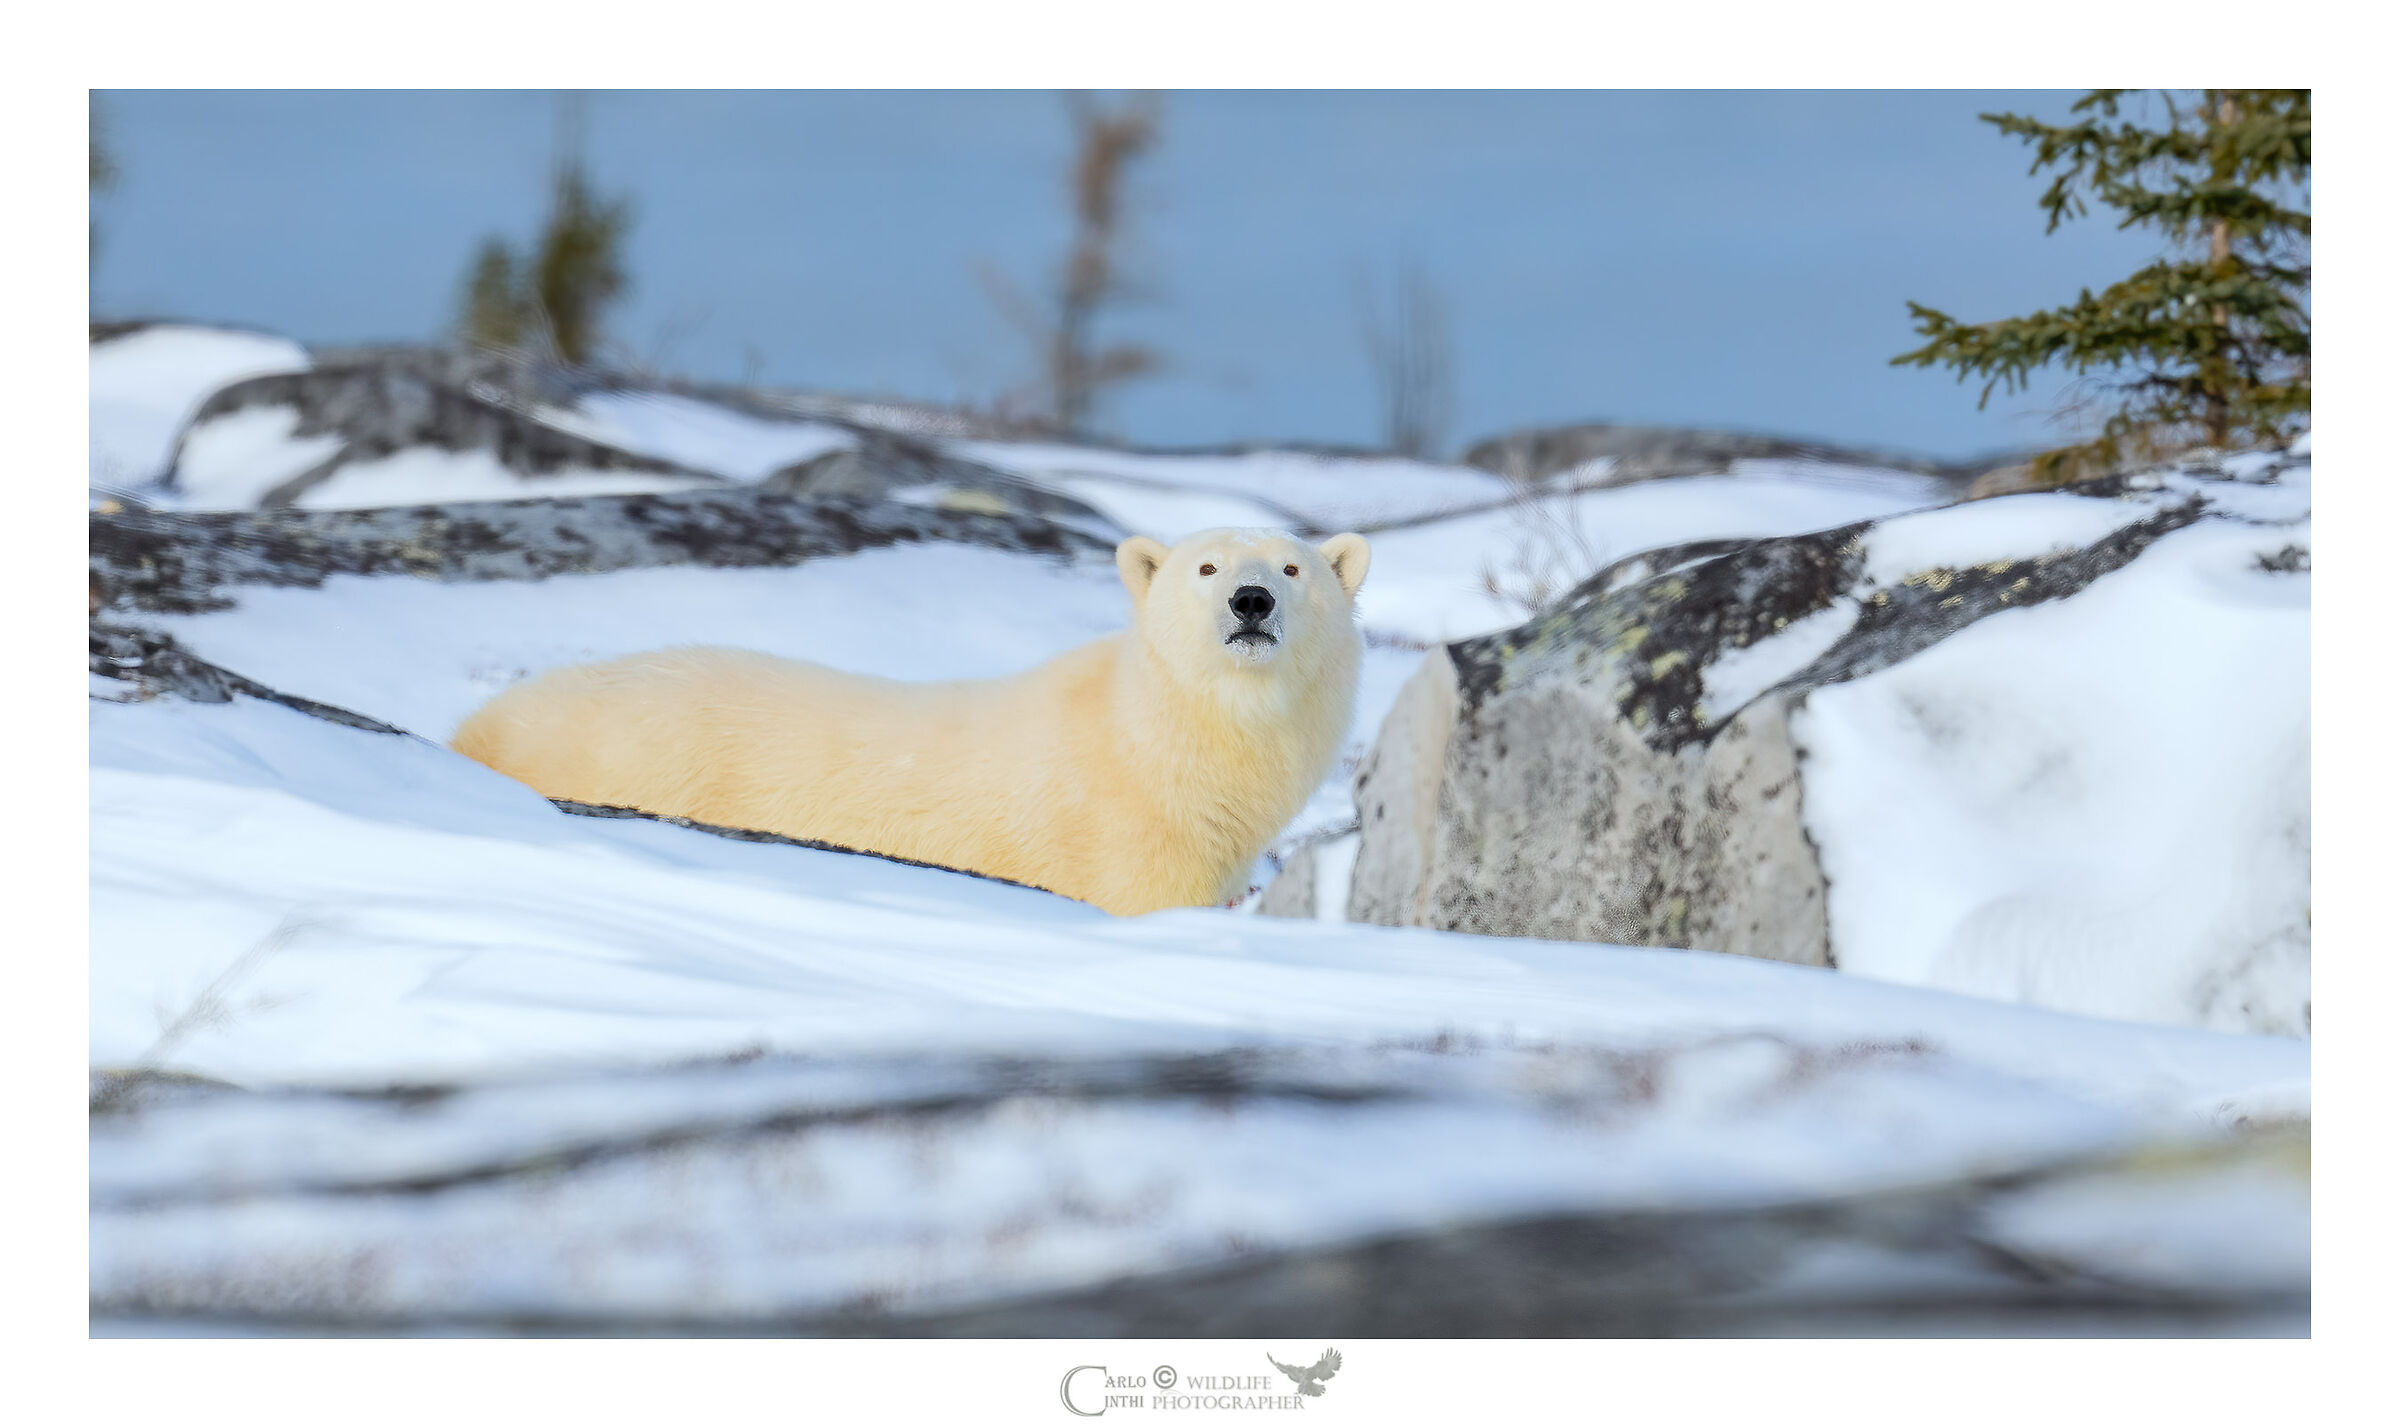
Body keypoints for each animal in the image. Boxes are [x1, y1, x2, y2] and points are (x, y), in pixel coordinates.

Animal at [449, 528, 1371, 915]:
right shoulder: (1121, 845)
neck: (1148, 746)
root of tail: (481, 727)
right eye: (1205, 566)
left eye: (1293, 568)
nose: (1250, 600)